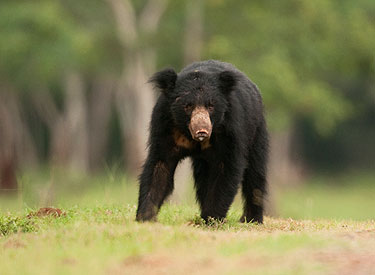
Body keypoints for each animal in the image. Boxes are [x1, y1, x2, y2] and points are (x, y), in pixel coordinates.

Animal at [137, 60, 268, 224]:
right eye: (187, 106)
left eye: (211, 106)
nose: (202, 130)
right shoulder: (165, 125)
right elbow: (160, 167)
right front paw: (145, 217)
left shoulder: (230, 129)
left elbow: (226, 169)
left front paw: (212, 217)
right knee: (203, 178)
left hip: (256, 129)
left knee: (255, 173)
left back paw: (251, 219)